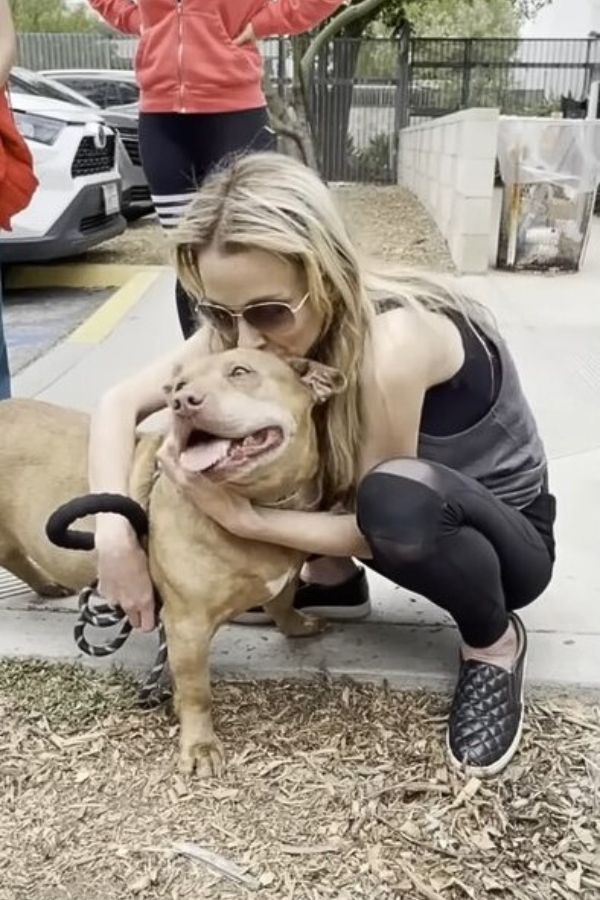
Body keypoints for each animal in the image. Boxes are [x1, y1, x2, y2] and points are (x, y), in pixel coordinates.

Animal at [0, 350, 344, 772]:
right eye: (178, 387)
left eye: (240, 372)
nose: (183, 402)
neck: (262, 502)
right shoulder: (187, 624)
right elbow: (198, 690)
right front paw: (199, 744)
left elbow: (282, 599)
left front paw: (297, 624)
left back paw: (46, 584)